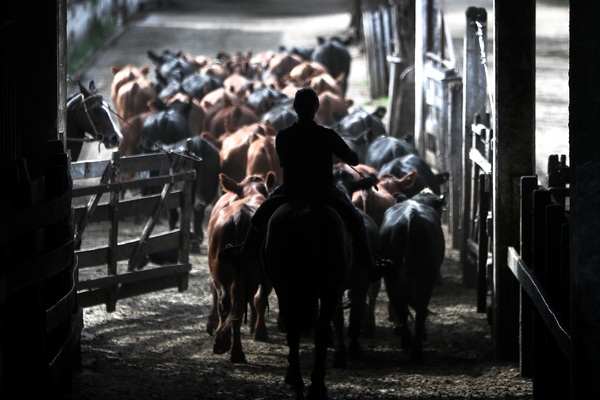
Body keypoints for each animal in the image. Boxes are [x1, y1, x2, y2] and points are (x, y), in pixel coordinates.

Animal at [264, 200, 354, 400]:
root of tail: (303, 213)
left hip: (285, 290)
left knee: (293, 333)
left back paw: (298, 385)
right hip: (329, 291)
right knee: (320, 333)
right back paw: (315, 387)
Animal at [380, 190, 446, 362]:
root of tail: (411, 213)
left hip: (393, 275)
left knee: (402, 304)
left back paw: (409, 343)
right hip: (424, 276)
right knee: (417, 307)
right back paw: (415, 348)